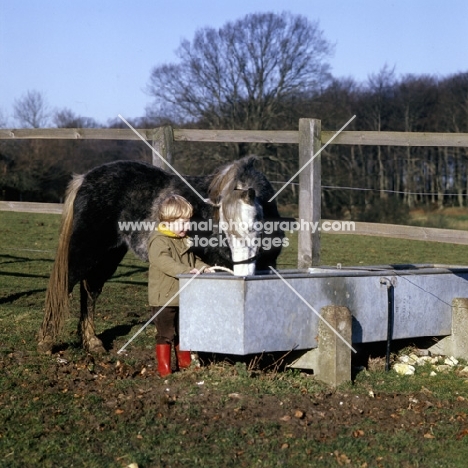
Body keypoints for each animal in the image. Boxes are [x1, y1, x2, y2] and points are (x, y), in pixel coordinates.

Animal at [38, 155, 284, 352]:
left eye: (253, 226)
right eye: (223, 226)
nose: (243, 271)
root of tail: (86, 179)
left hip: (109, 256)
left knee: (90, 290)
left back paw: (92, 342)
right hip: (86, 251)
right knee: (65, 285)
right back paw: (47, 341)